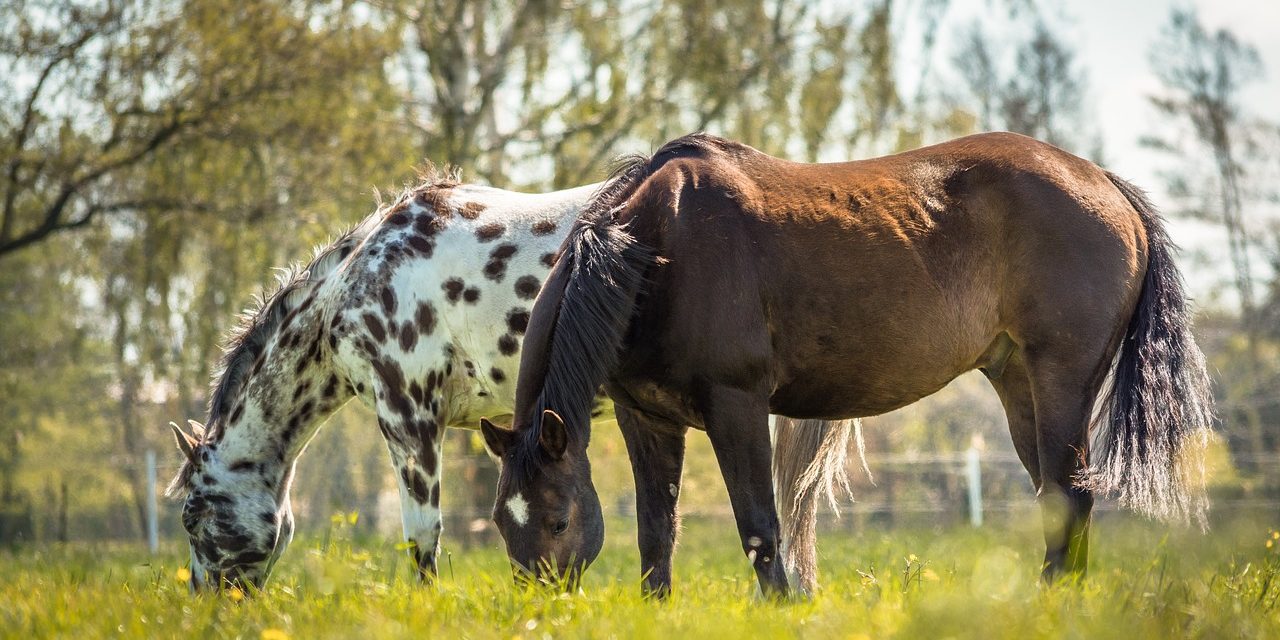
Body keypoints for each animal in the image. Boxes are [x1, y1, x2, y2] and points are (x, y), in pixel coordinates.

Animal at [480, 131, 1215, 598]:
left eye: (557, 520)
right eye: (501, 523)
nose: (541, 608)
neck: (656, 251)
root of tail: (1104, 183)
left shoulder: (736, 406)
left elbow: (760, 526)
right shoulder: (647, 420)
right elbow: (656, 531)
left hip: (1061, 377)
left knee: (1070, 492)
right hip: (1017, 384)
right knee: (1057, 498)